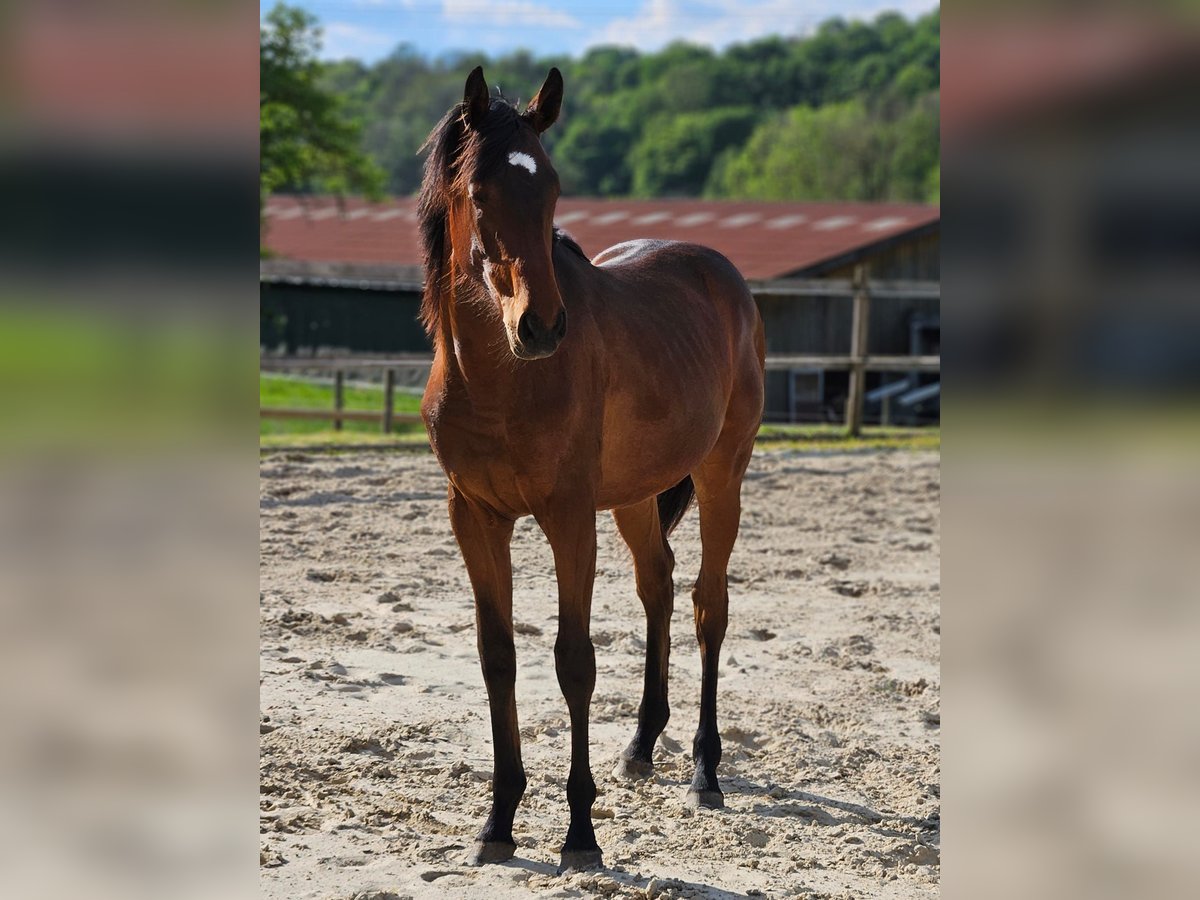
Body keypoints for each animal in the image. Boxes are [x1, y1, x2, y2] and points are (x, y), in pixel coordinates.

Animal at [417, 66, 763, 868]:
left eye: (550, 188)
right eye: (479, 191)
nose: (542, 326)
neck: (500, 380)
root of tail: (725, 279)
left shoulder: (568, 516)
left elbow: (574, 660)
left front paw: (580, 833)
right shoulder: (473, 516)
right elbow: (497, 657)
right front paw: (498, 823)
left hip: (721, 475)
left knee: (707, 605)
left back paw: (705, 769)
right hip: (634, 495)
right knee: (659, 586)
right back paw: (641, 743)